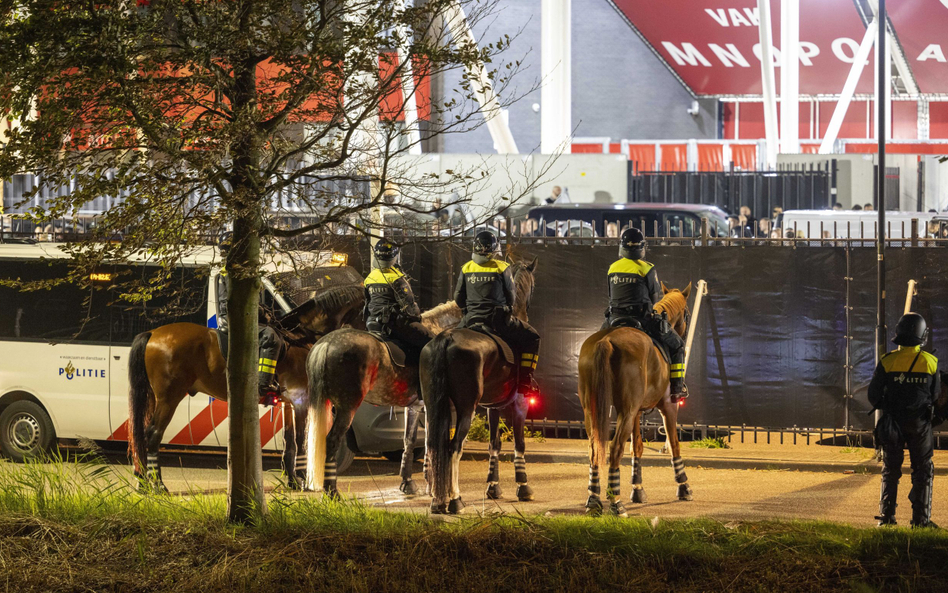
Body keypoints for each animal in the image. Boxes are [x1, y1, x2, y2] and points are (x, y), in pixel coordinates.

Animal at [126, 284, 362, 490]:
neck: (302, 337)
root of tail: (153, 333)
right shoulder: (301, 400)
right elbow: (301, 440)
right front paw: (303, 480)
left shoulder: (288, 404)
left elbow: (289, 443)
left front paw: (293, 481)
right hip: (169, 398)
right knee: (153, 435)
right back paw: (158, 485)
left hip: (155, 397)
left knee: (142, 435)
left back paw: (143, 482)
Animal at [306, 300, 464, 494]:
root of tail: (326, 343)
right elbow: (431, 441)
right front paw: (430, 483)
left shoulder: (414, 406)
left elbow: (409, 440)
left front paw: (407, 481)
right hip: (347, 407)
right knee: (332, 441)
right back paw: (332, 491)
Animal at [420, 260, 536, 512]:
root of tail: (447, 338)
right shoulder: (520, 402)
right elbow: (519, 444)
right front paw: (523, 486)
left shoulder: (493, 406)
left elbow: (494, 443)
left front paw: (493, 486)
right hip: (466, 408)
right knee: (454, 447)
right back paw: (455, 499)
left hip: (435, 406)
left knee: (434, 445)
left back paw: (437, 499)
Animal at [572, 282, 692, 512]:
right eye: (687, 314)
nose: (683, 336)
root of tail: (606, 340)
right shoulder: (668, 406)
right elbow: (674, 443)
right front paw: (683, 486)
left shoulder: (636, 412)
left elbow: (637, 446)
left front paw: (637, 489)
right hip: (626, 412)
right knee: (614, 447)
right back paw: (615, 502)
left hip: (593, 410)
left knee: (594, 447)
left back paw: (594, 499)